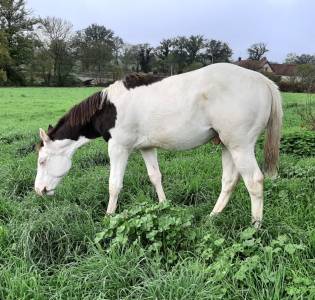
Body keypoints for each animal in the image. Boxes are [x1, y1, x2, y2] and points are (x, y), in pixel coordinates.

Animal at [35, 63, 284, 227]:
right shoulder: (146, 148)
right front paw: (164, 206)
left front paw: (108, 217)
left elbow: (114, 185)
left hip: (240, 147)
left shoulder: (119, 148)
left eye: (42, 161)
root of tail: (264, 81)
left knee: (254, 181)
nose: (39, 191)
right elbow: (155, 177)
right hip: (227, 146)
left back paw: (255, 227)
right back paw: (213, 216)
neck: (108, 107)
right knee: (229, 181)